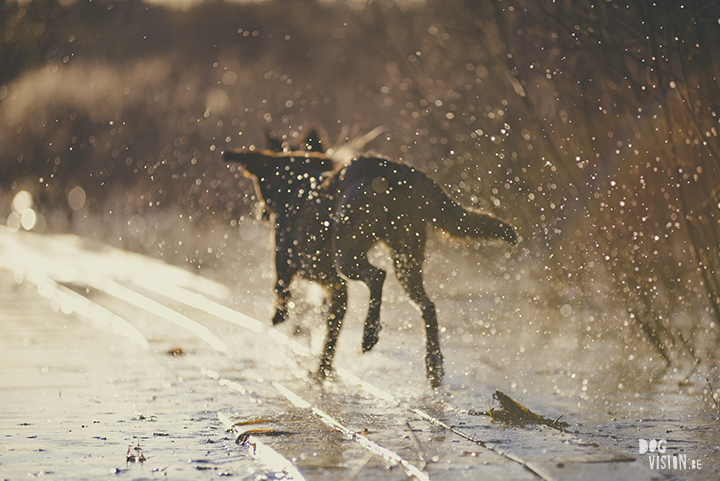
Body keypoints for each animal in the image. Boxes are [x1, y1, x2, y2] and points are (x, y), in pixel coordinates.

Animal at [222, 145, 516, 386]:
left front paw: (279, 316)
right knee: (427, 306)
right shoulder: (337, 291)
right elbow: (330, 338)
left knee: (378, 276)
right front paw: (322, 371)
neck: (299, 190)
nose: (260, 212)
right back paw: (433, 364)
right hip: (406, 259)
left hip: (347, 253)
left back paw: (370, 333)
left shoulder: (294, 268)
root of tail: (393, 168)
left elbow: (281, 292)